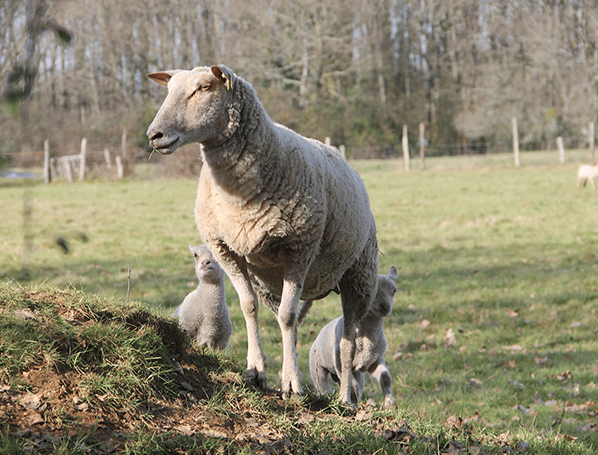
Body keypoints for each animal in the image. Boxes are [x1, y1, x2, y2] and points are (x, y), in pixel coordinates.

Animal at [146, 65, 380, 406]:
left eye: (204, 87)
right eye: (169, 88)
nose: (154, 135)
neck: (239, 196)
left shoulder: (300, 248)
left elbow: (286, 316)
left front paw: (291, 384)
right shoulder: (226, 249)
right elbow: (249, 307)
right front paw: (256, 370)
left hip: (359, 275)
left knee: (346, 340)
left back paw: (345, 397)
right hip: (272, 281)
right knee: (290, 319)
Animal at [310, 266, 398, 408]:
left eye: (394, 290)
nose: (386, 306)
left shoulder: (374, 359)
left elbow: (385, 378)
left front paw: (390, 403)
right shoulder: (341, 362)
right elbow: (353, 385)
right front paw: (350, 401)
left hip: (356, 372)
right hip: (317, 366)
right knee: (324, 387)